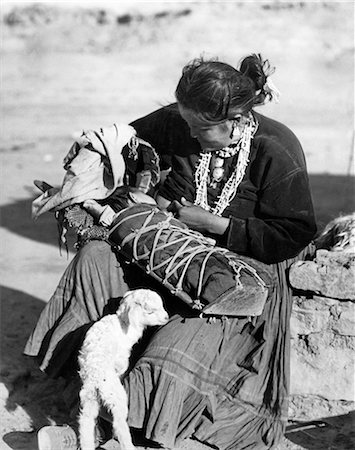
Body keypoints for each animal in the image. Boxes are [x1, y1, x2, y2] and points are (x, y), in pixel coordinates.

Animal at [79, 288, 170, 450]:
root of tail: (96, 378)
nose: (167, 317)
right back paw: (128, 445)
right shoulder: (122, 359)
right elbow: (122, 367)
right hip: (116, 395)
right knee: (119, 422)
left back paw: (87, 444)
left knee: (86, 420)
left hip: (89, 395)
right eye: (151, 311)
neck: (123, 323)